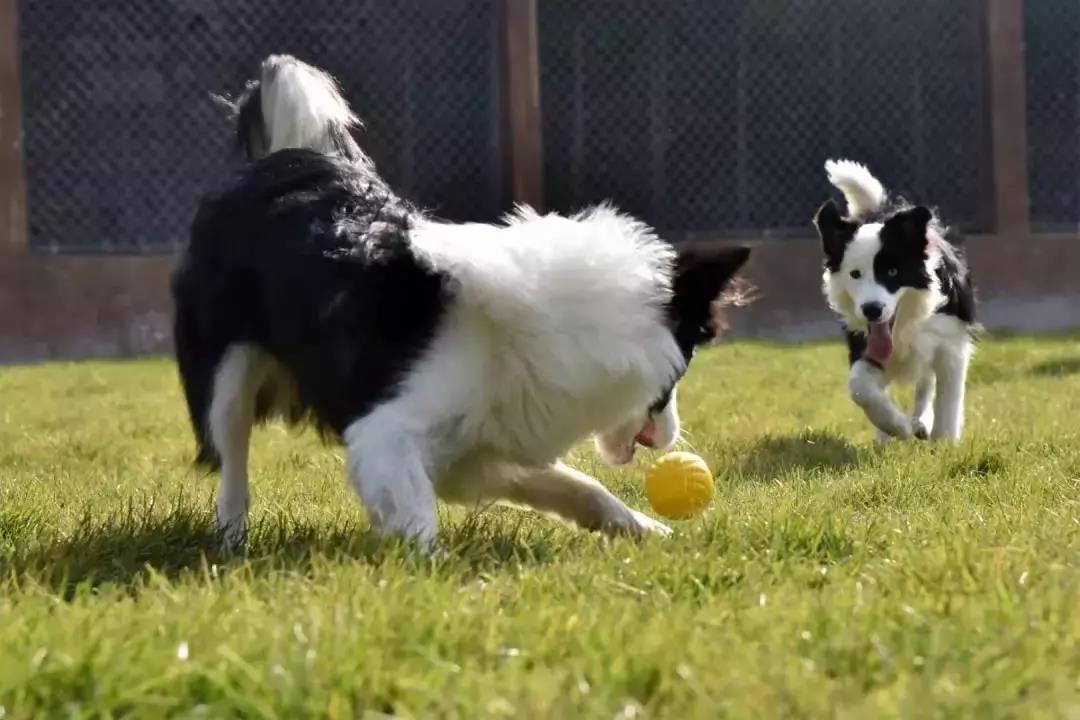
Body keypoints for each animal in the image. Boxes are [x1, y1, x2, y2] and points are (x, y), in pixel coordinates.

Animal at [174, 56, 751, 548]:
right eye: (680, 370)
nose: (671, 439)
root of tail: (281, 161)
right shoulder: (383, 432)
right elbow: (416, 512)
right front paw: (426, 575)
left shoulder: (478, 450)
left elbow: (579, 485)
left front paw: (642, 528)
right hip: (225, 377)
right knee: (233, 462)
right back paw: (232, 541)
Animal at [812, 160, 980, 442]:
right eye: (855, 274)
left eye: (892, 272)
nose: (872, 310)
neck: (907, 323)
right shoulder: (864, 344)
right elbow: (859, 387)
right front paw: (895, 425)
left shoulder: (951, 343)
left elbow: (948, 400)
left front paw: (944, 441)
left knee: (926, 382)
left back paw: (922, 422)